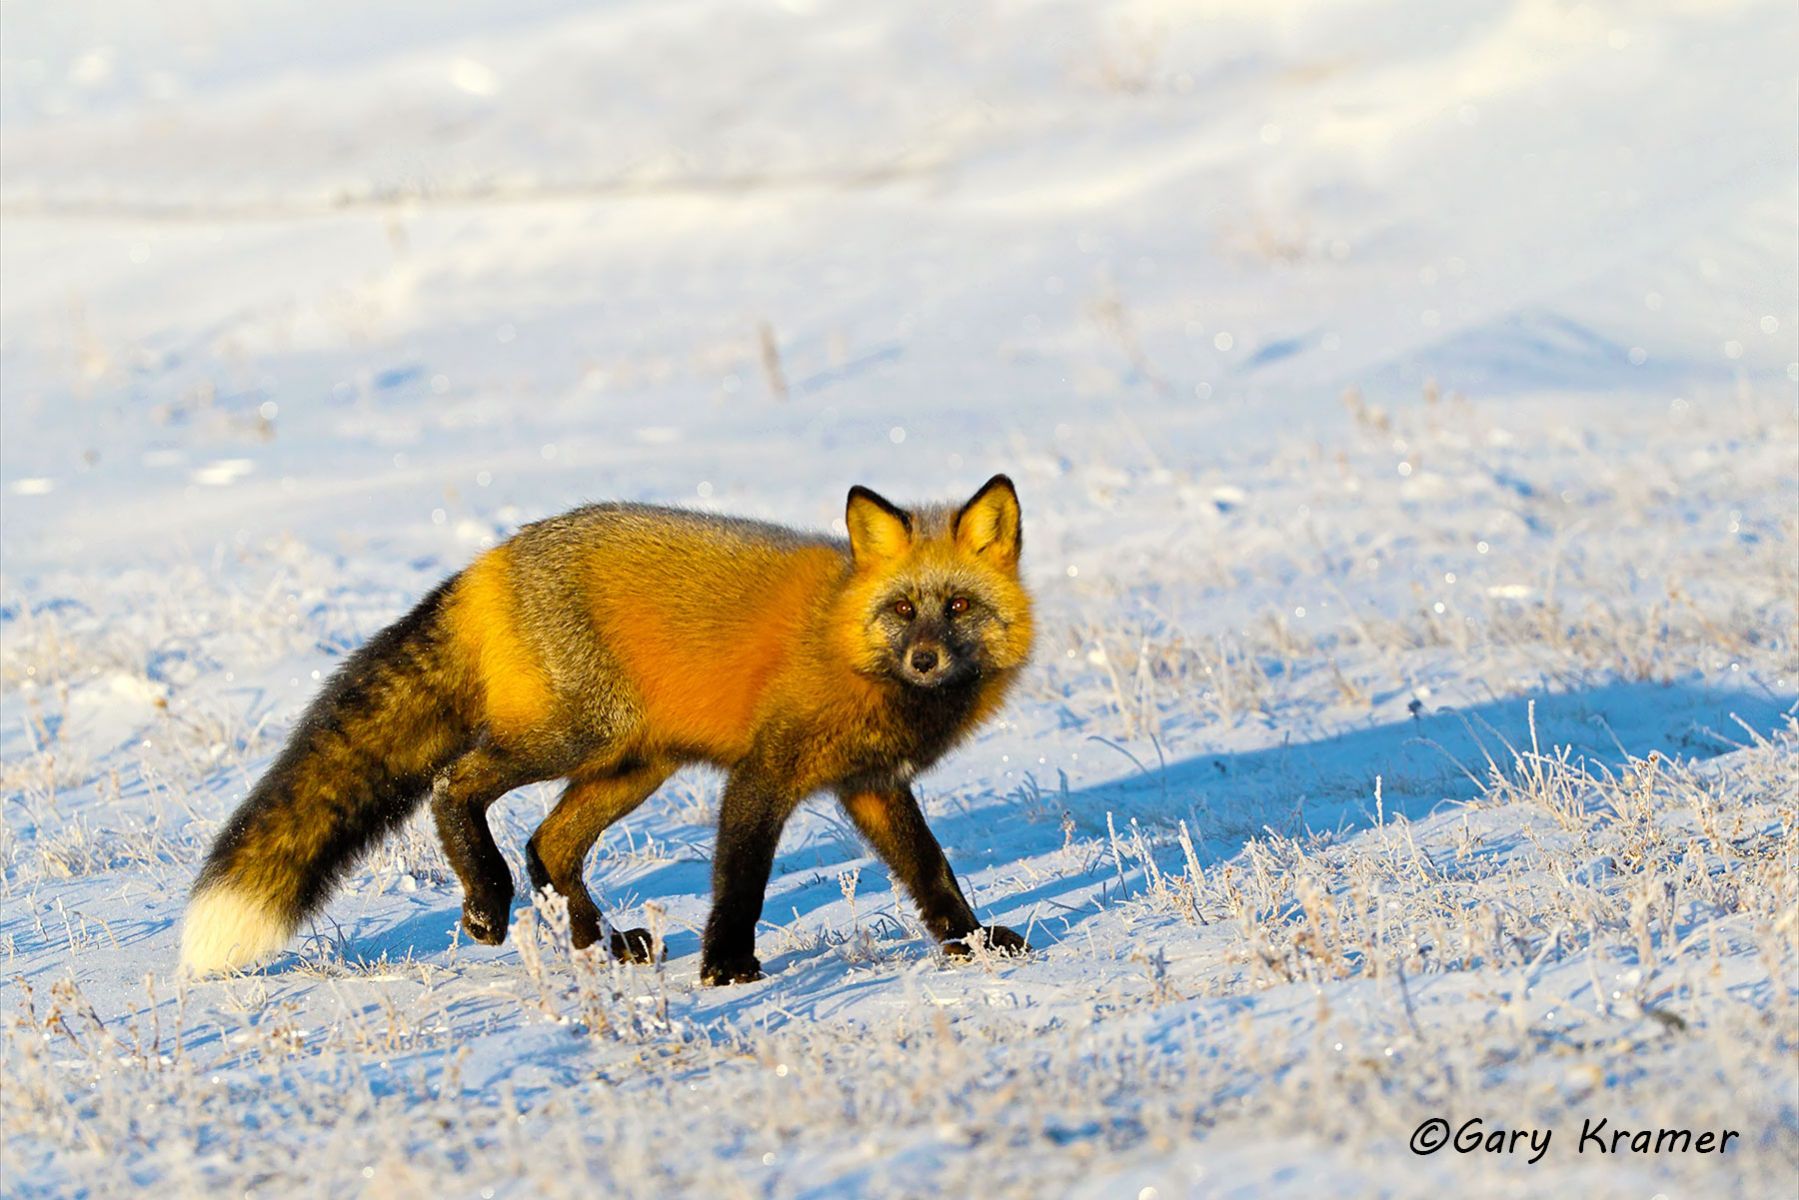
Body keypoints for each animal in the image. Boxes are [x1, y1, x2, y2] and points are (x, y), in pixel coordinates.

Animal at [181, 475, 1035, 984]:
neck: (847, 646)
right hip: (583, 736)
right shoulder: (764, 774)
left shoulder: (872, 785)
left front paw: (972, 943)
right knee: (457, 788)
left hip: (634, 764)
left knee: (548, 845)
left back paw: (599, 944)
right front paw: (727, 968)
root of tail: (489, 560)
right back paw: (488, 904)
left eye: (958, 607)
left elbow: (932, 873)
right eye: (902, 609)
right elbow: (741, 883)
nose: (924, 658)